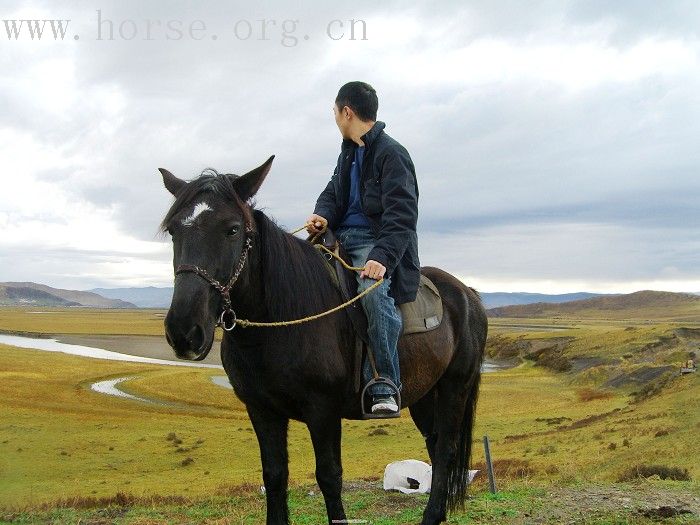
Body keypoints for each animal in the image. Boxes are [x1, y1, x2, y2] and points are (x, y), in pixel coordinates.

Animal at [159, 157, 486, 524]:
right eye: (174, 231)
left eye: (231, 229)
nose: (185, 331)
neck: (277, 324)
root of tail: (467, 293)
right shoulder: (261, 410)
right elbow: (274, 475)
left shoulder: (323, 411)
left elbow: (329, 476)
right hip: (425, 393)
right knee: (434, 444)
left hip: (455, 386)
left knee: (445, 449)